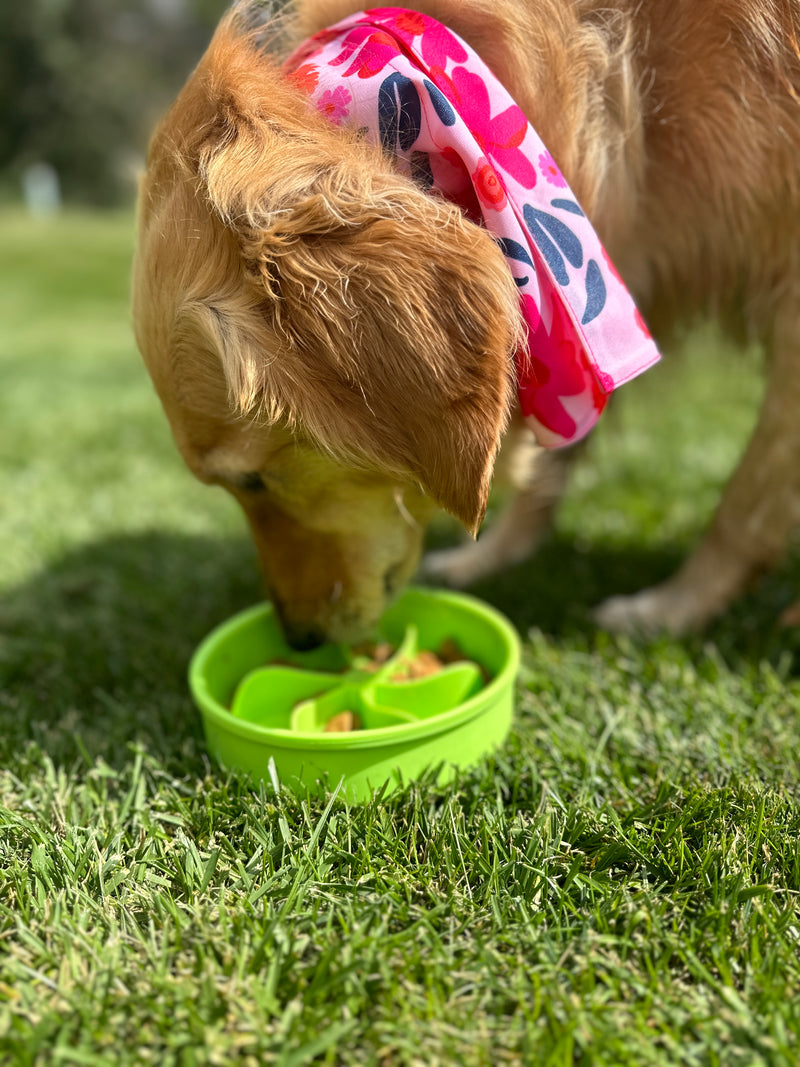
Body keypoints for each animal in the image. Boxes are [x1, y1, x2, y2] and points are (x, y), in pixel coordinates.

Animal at [131, 0, 800, 644]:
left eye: (253, 480)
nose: (299, 639)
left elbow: (750, 493)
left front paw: (670, 610)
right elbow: (557, 442)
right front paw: (494, 557)